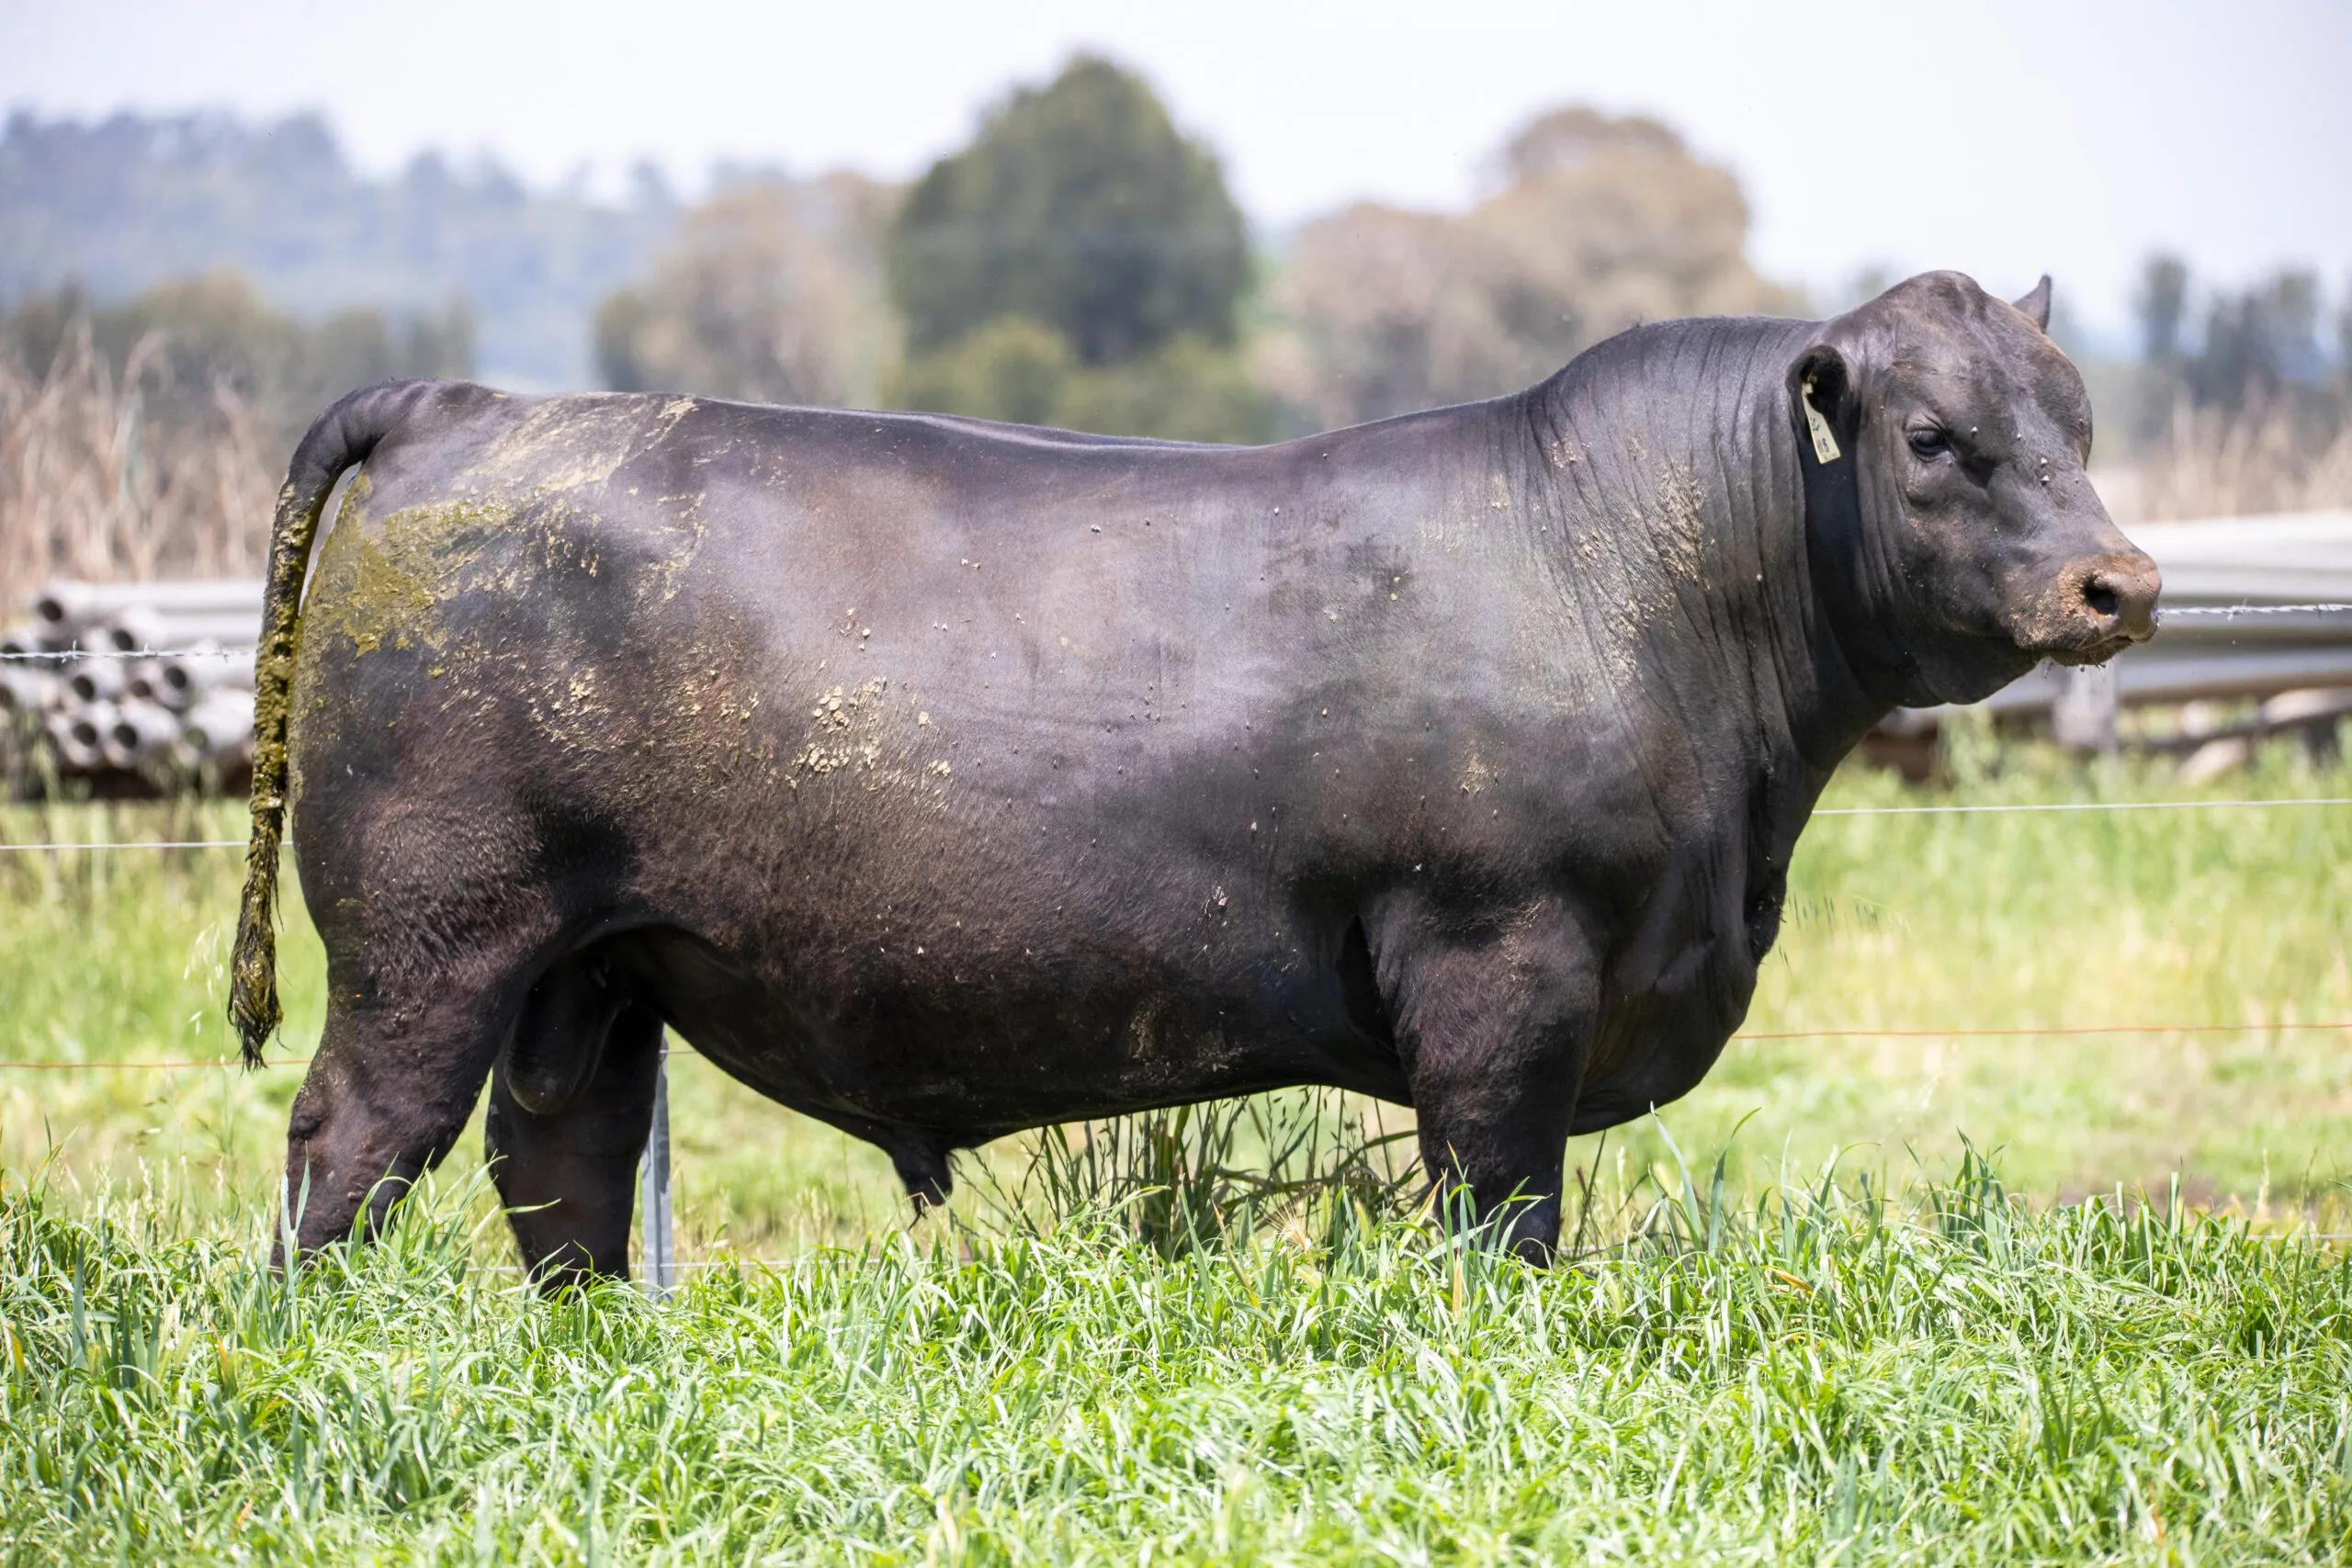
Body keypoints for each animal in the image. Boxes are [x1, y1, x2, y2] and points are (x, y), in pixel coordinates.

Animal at [230, 271, 2158, 1276]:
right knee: (357, 1140)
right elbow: (1504, 1208)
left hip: (597, 961)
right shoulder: (1500, 963)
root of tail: (471, 400)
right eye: (1936, 440)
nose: (2119, 583)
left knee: (562, 1160)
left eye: (2080, 419)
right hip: (430, 934)